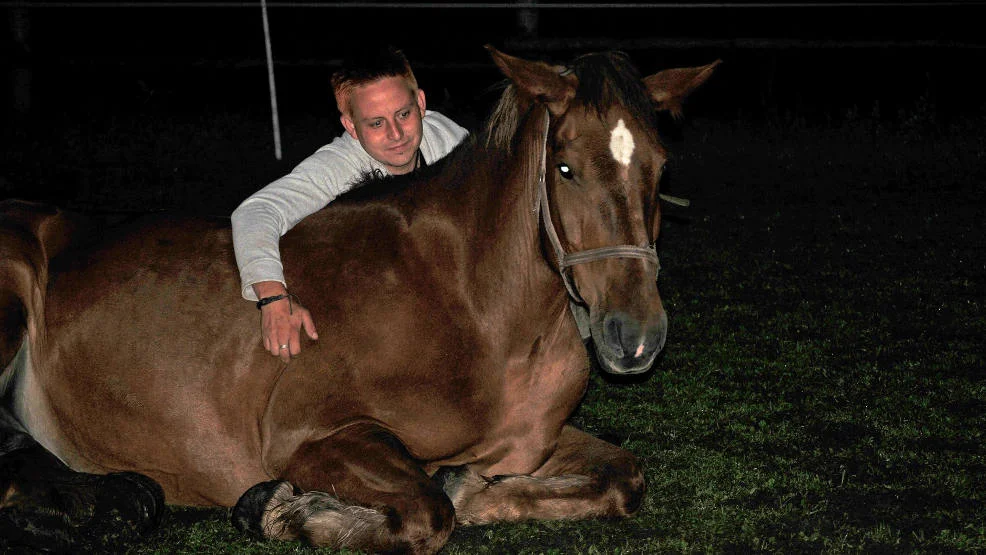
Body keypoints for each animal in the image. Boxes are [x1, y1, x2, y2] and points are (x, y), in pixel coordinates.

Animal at [0, 48, 716, 555]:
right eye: (564, 168)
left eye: (660, 165)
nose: (635, 336)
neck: (472, 307)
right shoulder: (311, 437)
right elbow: (429, 512)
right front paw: (283, 511)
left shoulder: (529, 444)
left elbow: (620, 478)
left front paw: (473, 489)